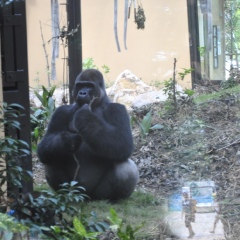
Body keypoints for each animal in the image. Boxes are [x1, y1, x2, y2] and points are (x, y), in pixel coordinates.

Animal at [37, 68, 139, 201]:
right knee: (51, 156)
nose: (82, 93)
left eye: (89, 86)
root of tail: (84, 197)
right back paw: (64, 194)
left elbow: (123, 143)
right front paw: (68, 140)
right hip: (74, 189)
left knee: (125, 167)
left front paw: (84, 116)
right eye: (80, 86)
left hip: (97, 195)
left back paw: (114, 199)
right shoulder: (61, 111)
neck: (98, 104)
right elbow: (45, 144)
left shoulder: (118, 109)